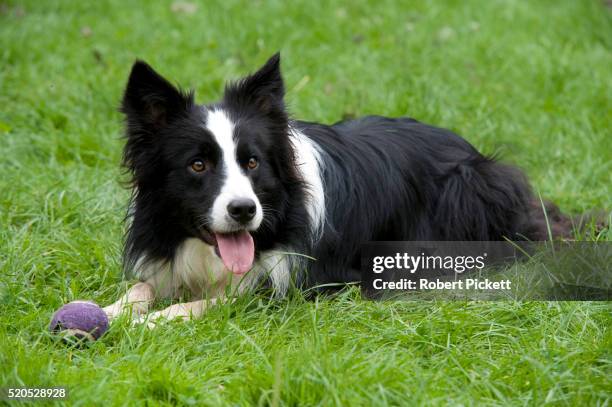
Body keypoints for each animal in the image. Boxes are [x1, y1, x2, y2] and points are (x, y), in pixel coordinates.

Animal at [104, 52, 568, 324]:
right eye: (197, 165)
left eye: (252, 162)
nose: (244, 210)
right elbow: (141, 287)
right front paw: (111, 311)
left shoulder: (303, 278)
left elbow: (228, 297)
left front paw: (156, 320)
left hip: (467, 193)